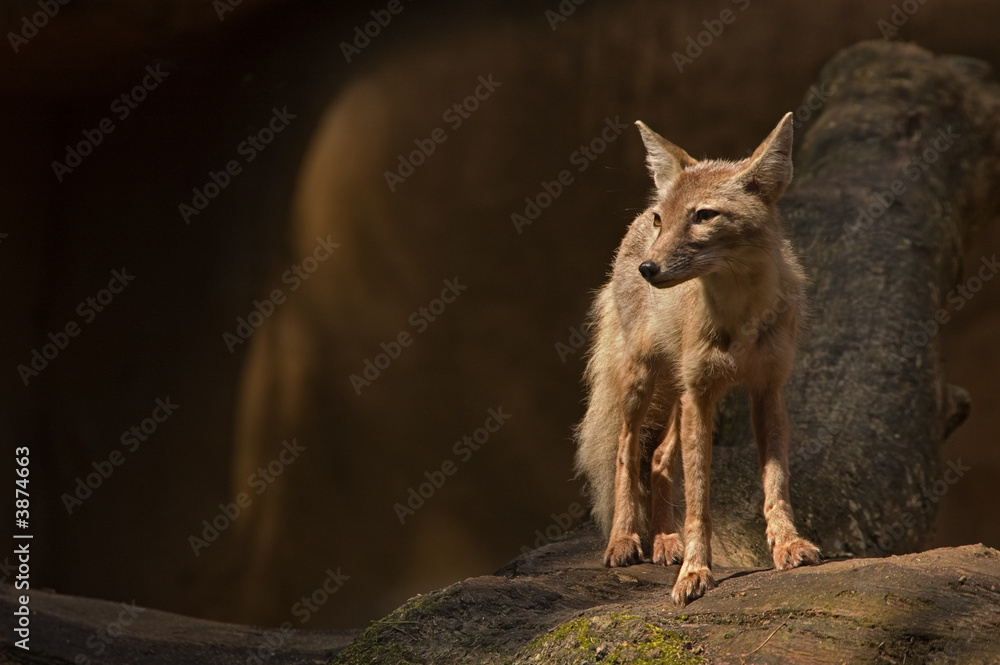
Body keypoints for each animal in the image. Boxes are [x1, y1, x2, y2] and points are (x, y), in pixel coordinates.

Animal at [574, 112, 821, 605]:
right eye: (661, 220)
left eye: (704, 216)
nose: (648, 269)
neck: (740, 316)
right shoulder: (701, 394)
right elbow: (700, 500)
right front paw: (695, 571)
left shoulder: (767, 390)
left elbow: (776, 481)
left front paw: (787, 544)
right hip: (644, 384)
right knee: (626, 450)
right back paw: (624, 539)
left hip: (679, 393)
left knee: (659, 458)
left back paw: (664, 540)